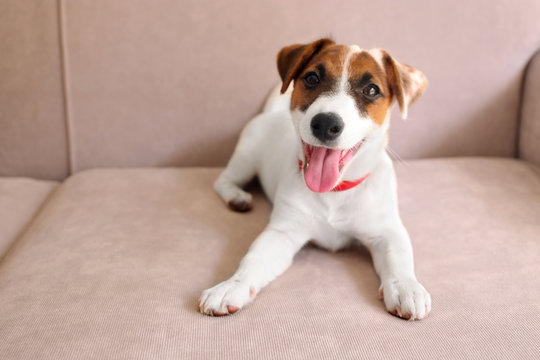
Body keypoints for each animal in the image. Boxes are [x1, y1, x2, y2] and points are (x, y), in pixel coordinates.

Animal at [198, 38, 430, 320]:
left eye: (371, 89)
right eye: (311, 78)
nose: (325, 123)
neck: (334, 192)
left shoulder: (387, 230)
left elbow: (400, 256)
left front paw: (407, 286)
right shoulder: (283, 233)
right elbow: (253, 259)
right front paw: (231, 286)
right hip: (246, 158)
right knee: (223, 180)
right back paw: (237, 197)